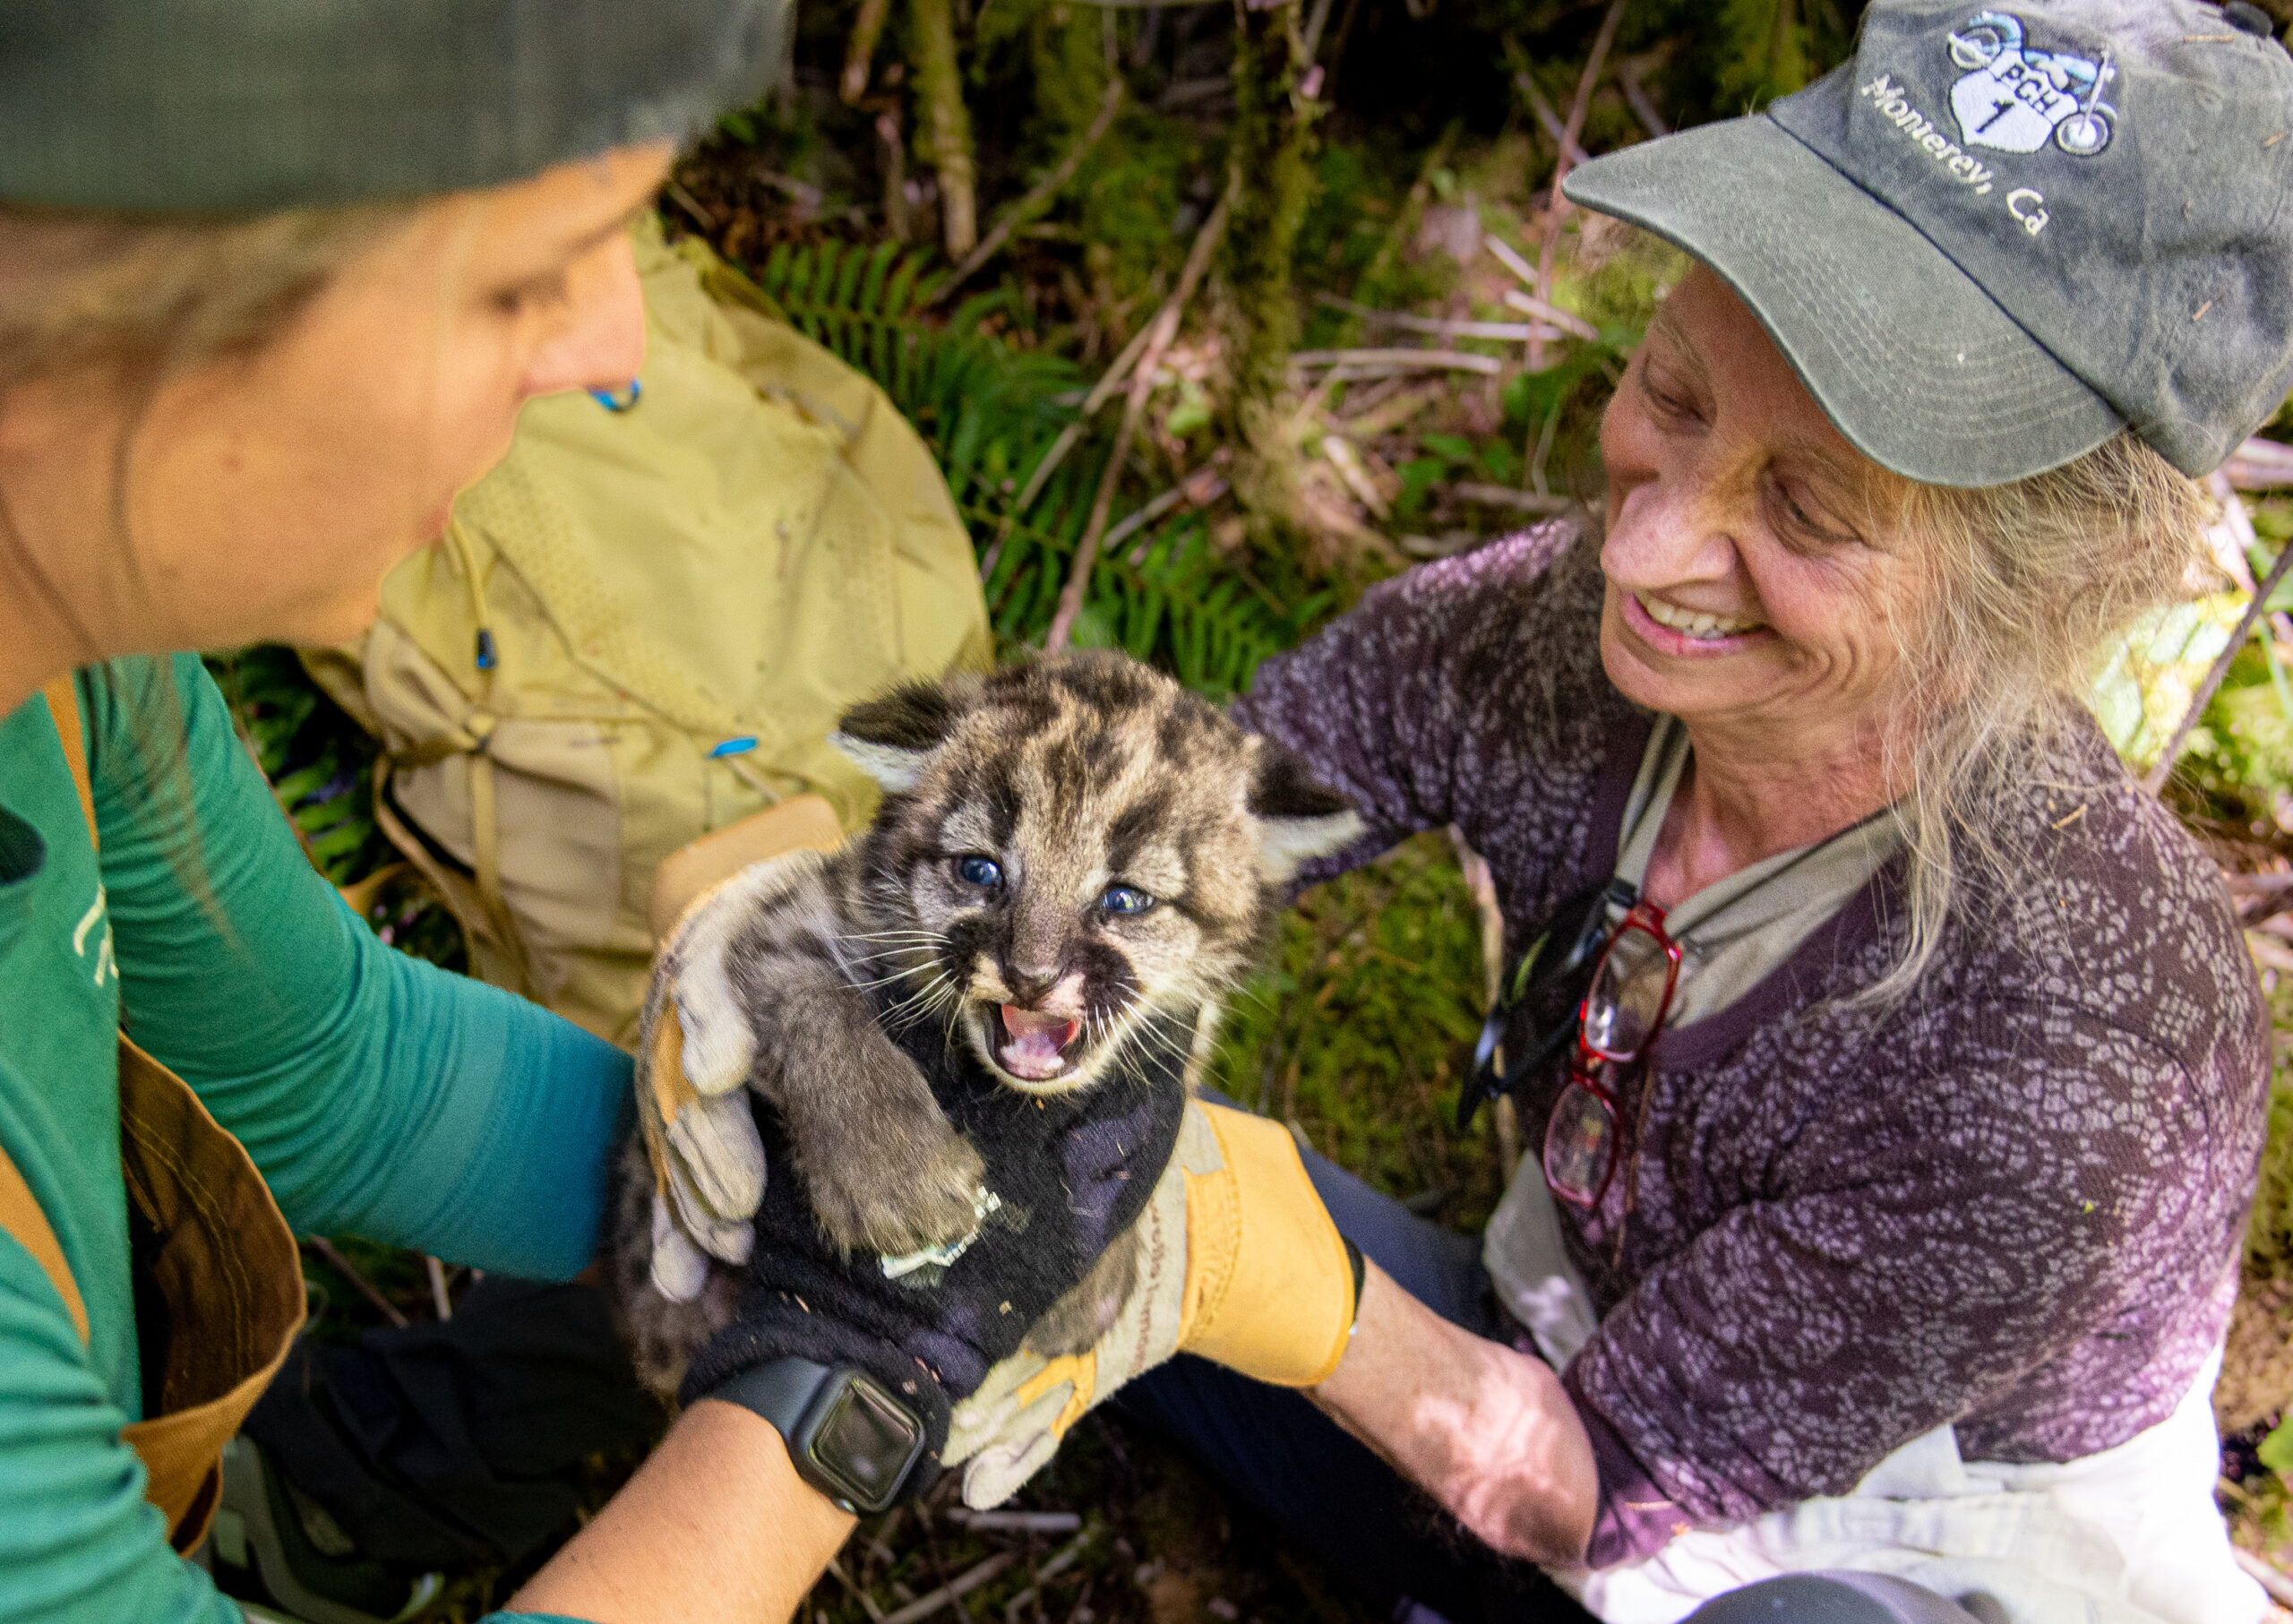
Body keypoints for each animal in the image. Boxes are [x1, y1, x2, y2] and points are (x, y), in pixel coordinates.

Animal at [609, 647, 1357, 1394]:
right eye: (980, 870)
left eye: (1125, 899)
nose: (1031, 974)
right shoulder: (792, 918)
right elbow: (819, 1010)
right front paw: (895, 1181)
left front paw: (1096, 1284)